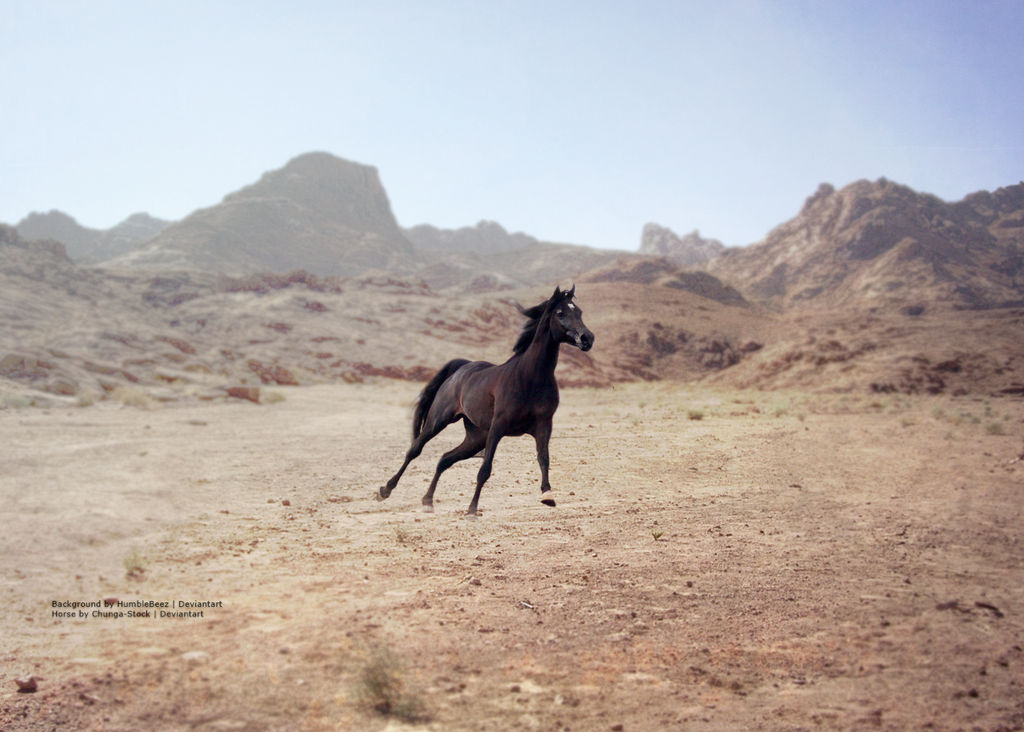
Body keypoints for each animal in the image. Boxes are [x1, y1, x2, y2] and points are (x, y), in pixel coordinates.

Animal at [380, 284, 598, 515]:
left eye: (579, 312)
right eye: (560, 313)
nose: (587, 338)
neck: (530, 377)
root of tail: (462, 367)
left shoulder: (544, 425)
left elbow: (543, 458)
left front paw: (547, 495)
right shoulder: (498, 426)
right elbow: (485, 468)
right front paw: (472, 510)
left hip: (475, 437)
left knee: (445, 459)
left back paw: (428, 500)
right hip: (438, 421)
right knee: (415, 450)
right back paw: (385, 490)